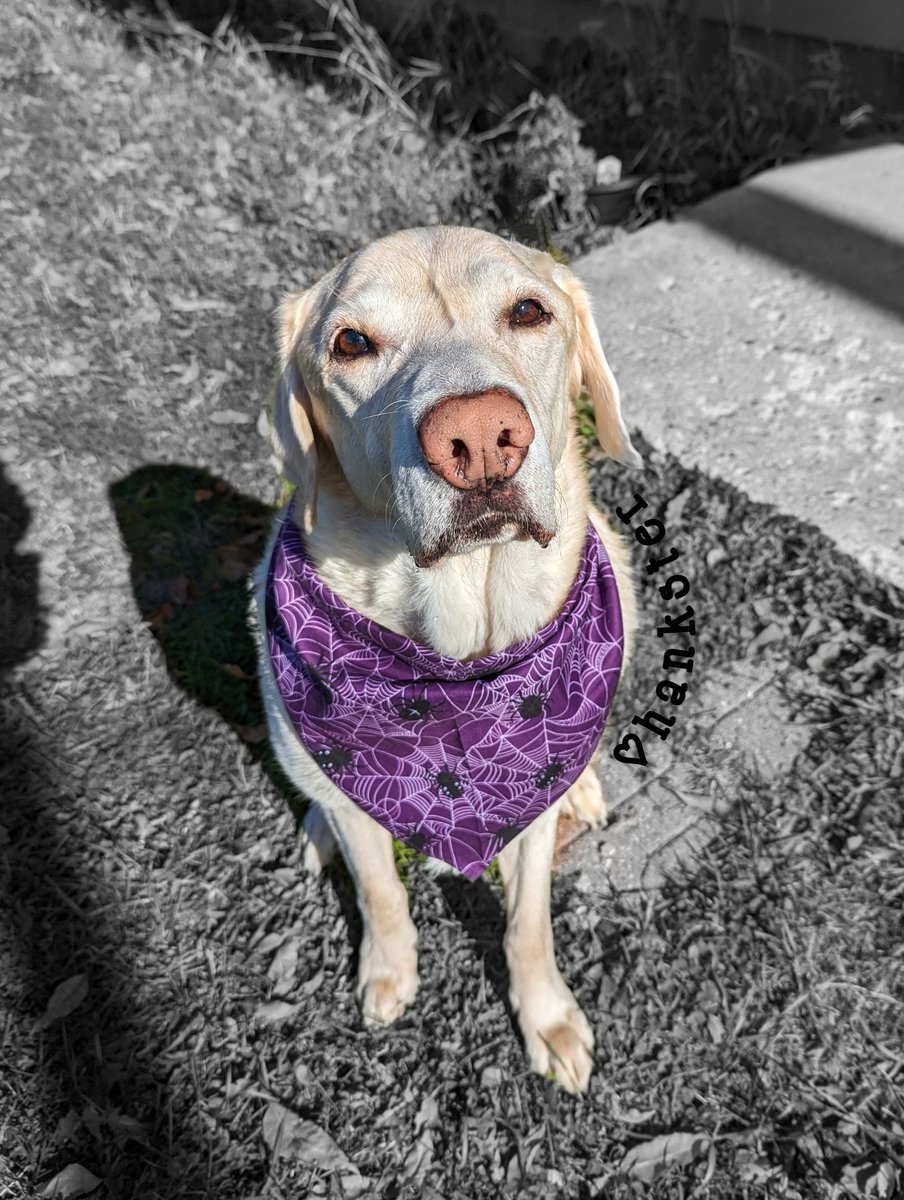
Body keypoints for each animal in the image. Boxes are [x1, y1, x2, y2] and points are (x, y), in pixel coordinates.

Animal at [250, 220, 638, 1094]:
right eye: (351, 342)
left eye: (527, 311)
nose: (481, 437)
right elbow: (380, 893)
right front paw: (388, 974)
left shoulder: (528, 801)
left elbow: (527, 922)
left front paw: (546, 1017)